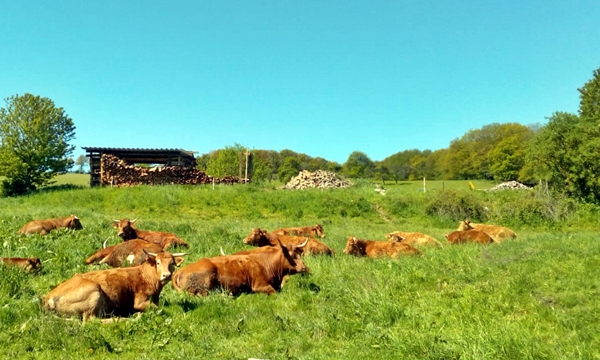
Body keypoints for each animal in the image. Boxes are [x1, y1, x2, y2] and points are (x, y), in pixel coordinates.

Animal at [42, 249, 185, 322]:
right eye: (158, 262)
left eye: (172, 263)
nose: (166, 275)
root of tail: (48, 297)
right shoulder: (139, 301)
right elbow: (157, 308)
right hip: (94, 291)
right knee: (91, 321)